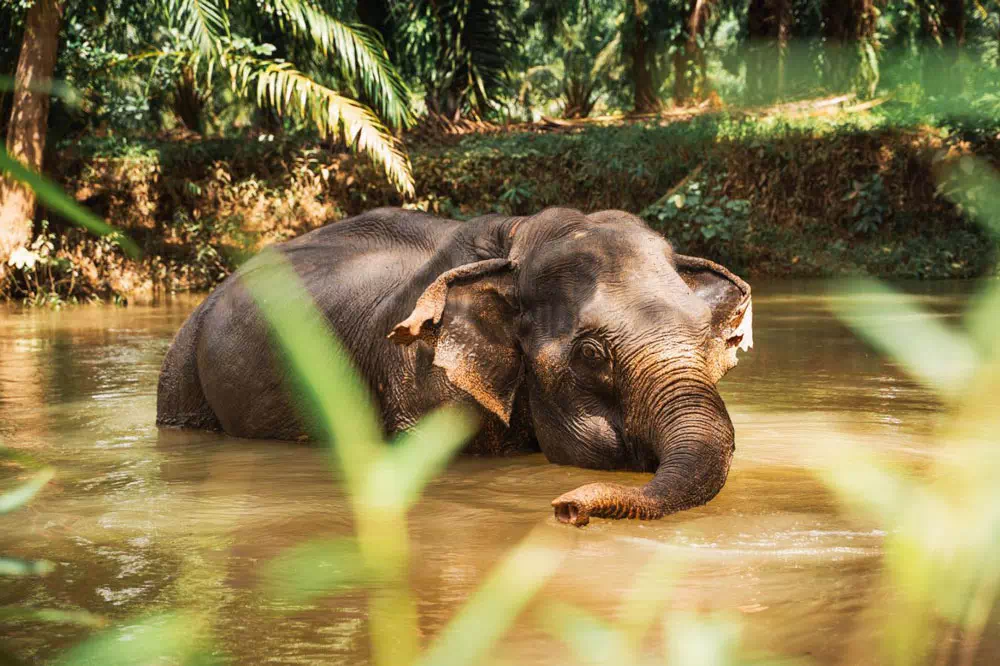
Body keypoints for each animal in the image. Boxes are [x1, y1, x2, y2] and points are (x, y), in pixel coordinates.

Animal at [156, 207, 753, 526]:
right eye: (590, 354)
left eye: (711, 339)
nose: (566, 509)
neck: (515, 245)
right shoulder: (418, 375)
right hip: (182, 369)